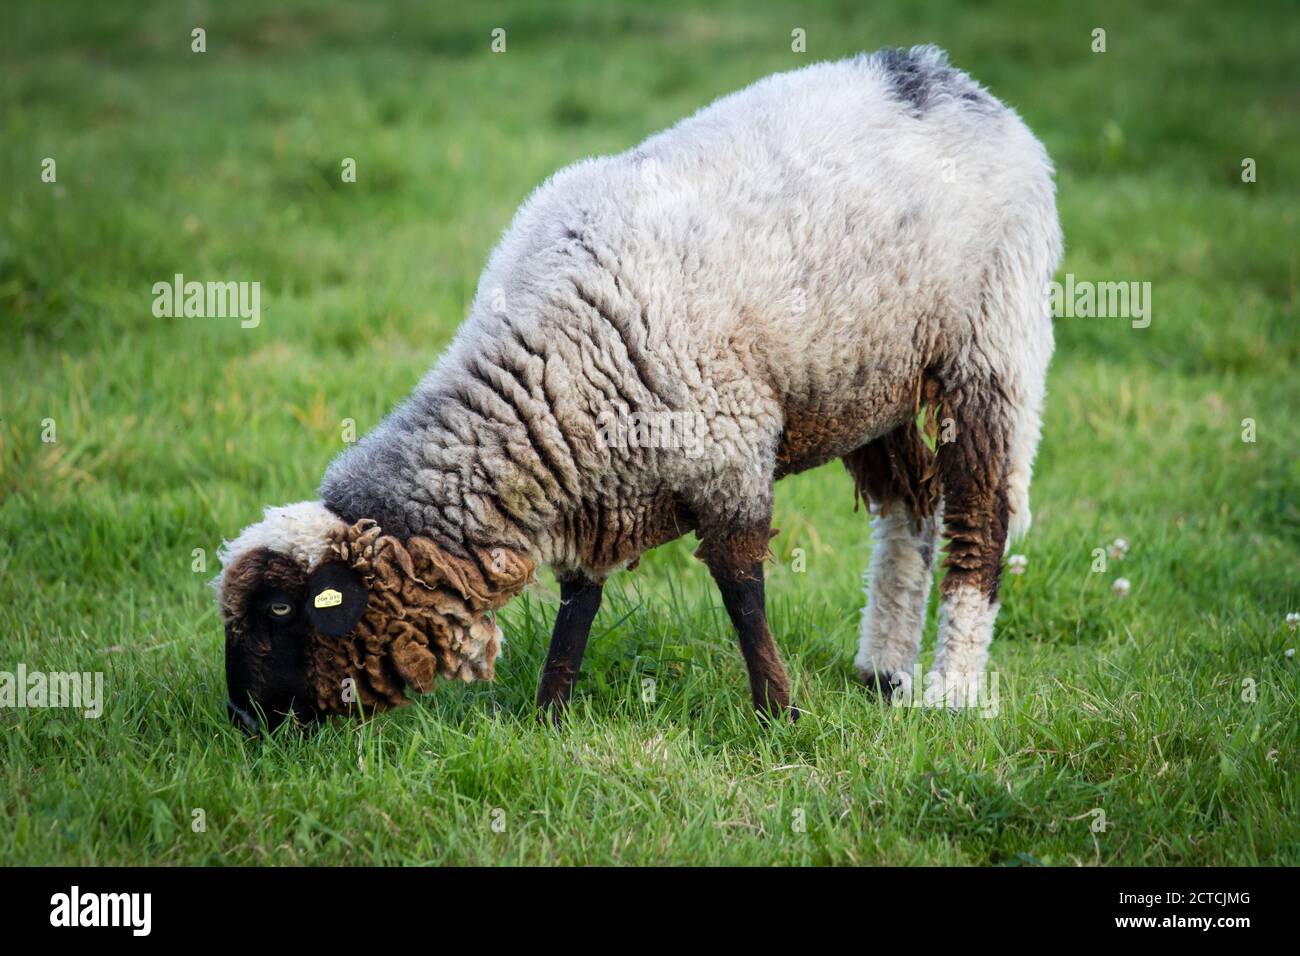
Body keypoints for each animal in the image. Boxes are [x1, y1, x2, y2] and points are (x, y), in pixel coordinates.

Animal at [218, 44, 1060, 733]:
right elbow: (579, 600)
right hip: (868, 382)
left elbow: (741, 589)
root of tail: (957, 83)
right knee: (908, 509)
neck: (540, 372)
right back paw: (882, 670)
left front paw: (778, 714)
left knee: (982, 518)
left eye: (281, 609)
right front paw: (549, 715)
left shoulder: (727, 452)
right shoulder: (591, 480)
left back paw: (951, 690)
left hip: (993, 345)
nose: (242, 724)